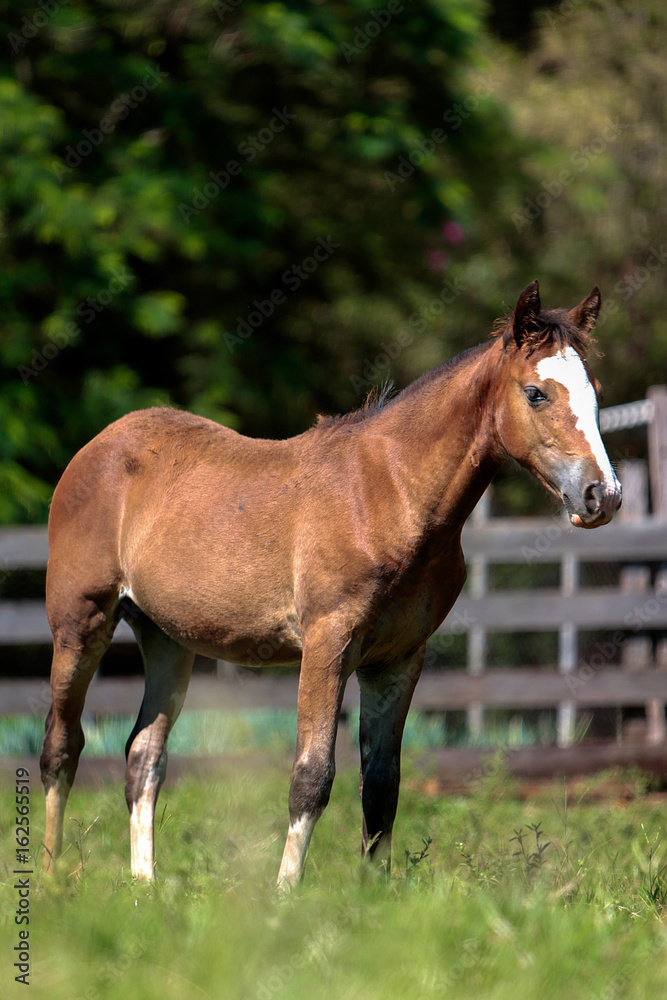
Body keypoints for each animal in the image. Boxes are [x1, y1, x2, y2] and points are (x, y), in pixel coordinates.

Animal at [40, 280, 621, 888]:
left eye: (597, 392)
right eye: (536, 393)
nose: (602, 496)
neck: (389, 493)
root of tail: (99, 446)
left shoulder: (397, 661)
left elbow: (383, 783)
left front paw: (372, 895)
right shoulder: (327, 645)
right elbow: (312, 774)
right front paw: (285, 895)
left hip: (167, 639)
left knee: (144, 754)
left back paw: (145, 887)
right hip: (81, 625)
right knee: (62, 745)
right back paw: (52, 880)